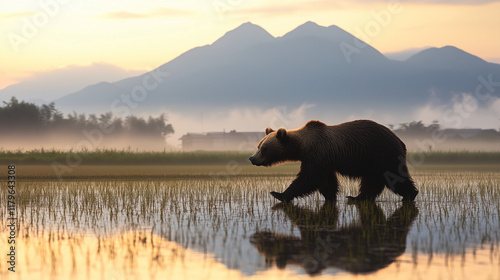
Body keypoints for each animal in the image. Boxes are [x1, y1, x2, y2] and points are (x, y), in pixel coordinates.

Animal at [250, 119, 418, 202]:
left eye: (264, 148)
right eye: (258, 146)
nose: (252, 158)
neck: (304, 146)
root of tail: (400, 140)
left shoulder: (318, 154)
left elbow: (308, 178)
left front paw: (279, 194)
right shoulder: (324, 160)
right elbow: (326, 181)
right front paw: (330, 196)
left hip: (382, 154)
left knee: (394, 176)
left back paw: (410, 195)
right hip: (372, 162)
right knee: (372, 181)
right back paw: (357, 198)